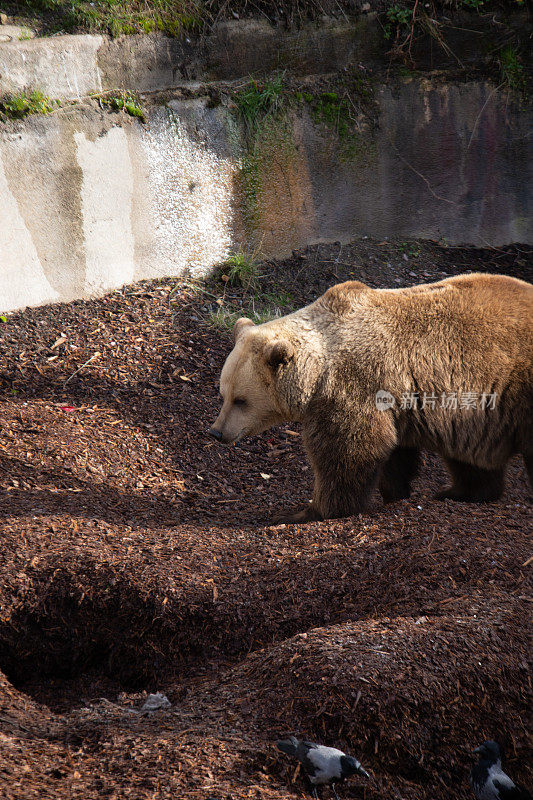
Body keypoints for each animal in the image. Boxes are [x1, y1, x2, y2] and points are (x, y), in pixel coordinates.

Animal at [208, 276, 532, 524]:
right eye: (223, 394)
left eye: (241, 400)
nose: (217, 432)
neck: (318, 373)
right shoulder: (397, 400)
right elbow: (393, 452)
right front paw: (395, 494)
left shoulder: (355, 385)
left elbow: (350, 452)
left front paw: (307, 511)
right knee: (470, 456)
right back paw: (459, 492)